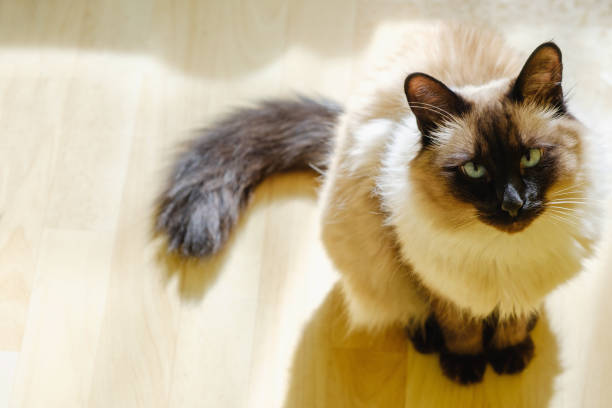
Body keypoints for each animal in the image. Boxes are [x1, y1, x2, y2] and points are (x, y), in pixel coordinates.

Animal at [154, 23, 608, 384]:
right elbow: (457, 322)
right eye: (474, 170)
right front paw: (465, 366)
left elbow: (513, 316)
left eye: (529, 157)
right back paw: (427, 340)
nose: (512, 205)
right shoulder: (424, 270)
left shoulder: (528, 280)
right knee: (404, 308)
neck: (504, 255)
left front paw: (510, 353)